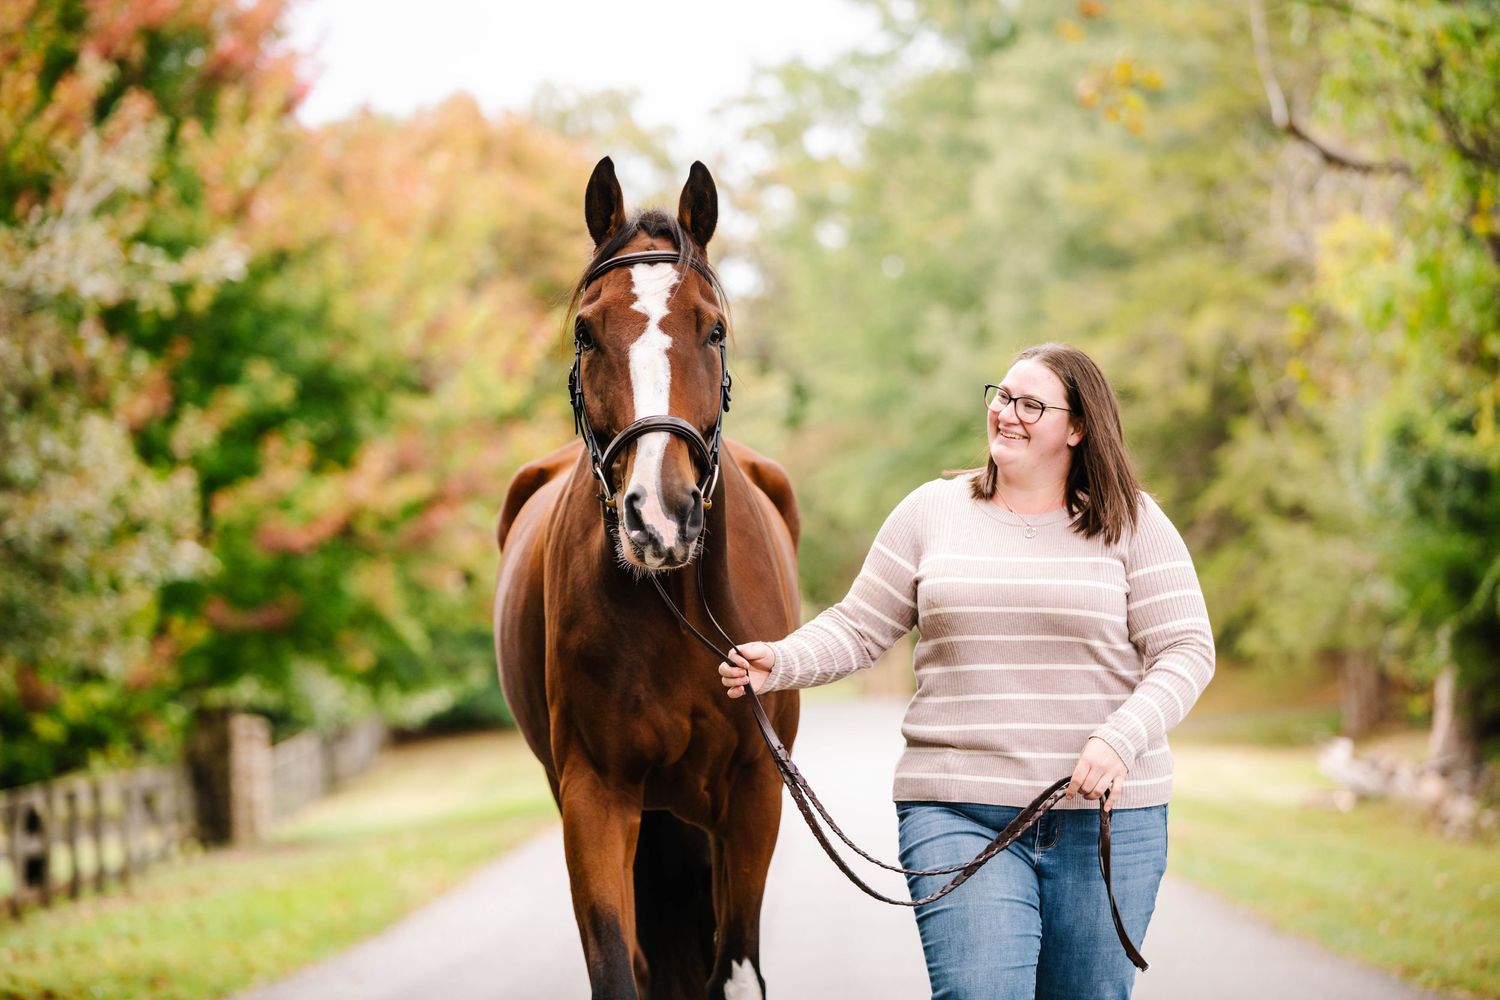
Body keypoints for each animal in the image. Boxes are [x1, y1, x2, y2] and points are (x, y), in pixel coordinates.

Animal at [494, 157, 802, 1000]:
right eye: (585, 330)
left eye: (715, 328)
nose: (658, 518)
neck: (675, 611)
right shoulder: (594, 798)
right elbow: (618, 967)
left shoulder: (754, 796)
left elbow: (735, 962)